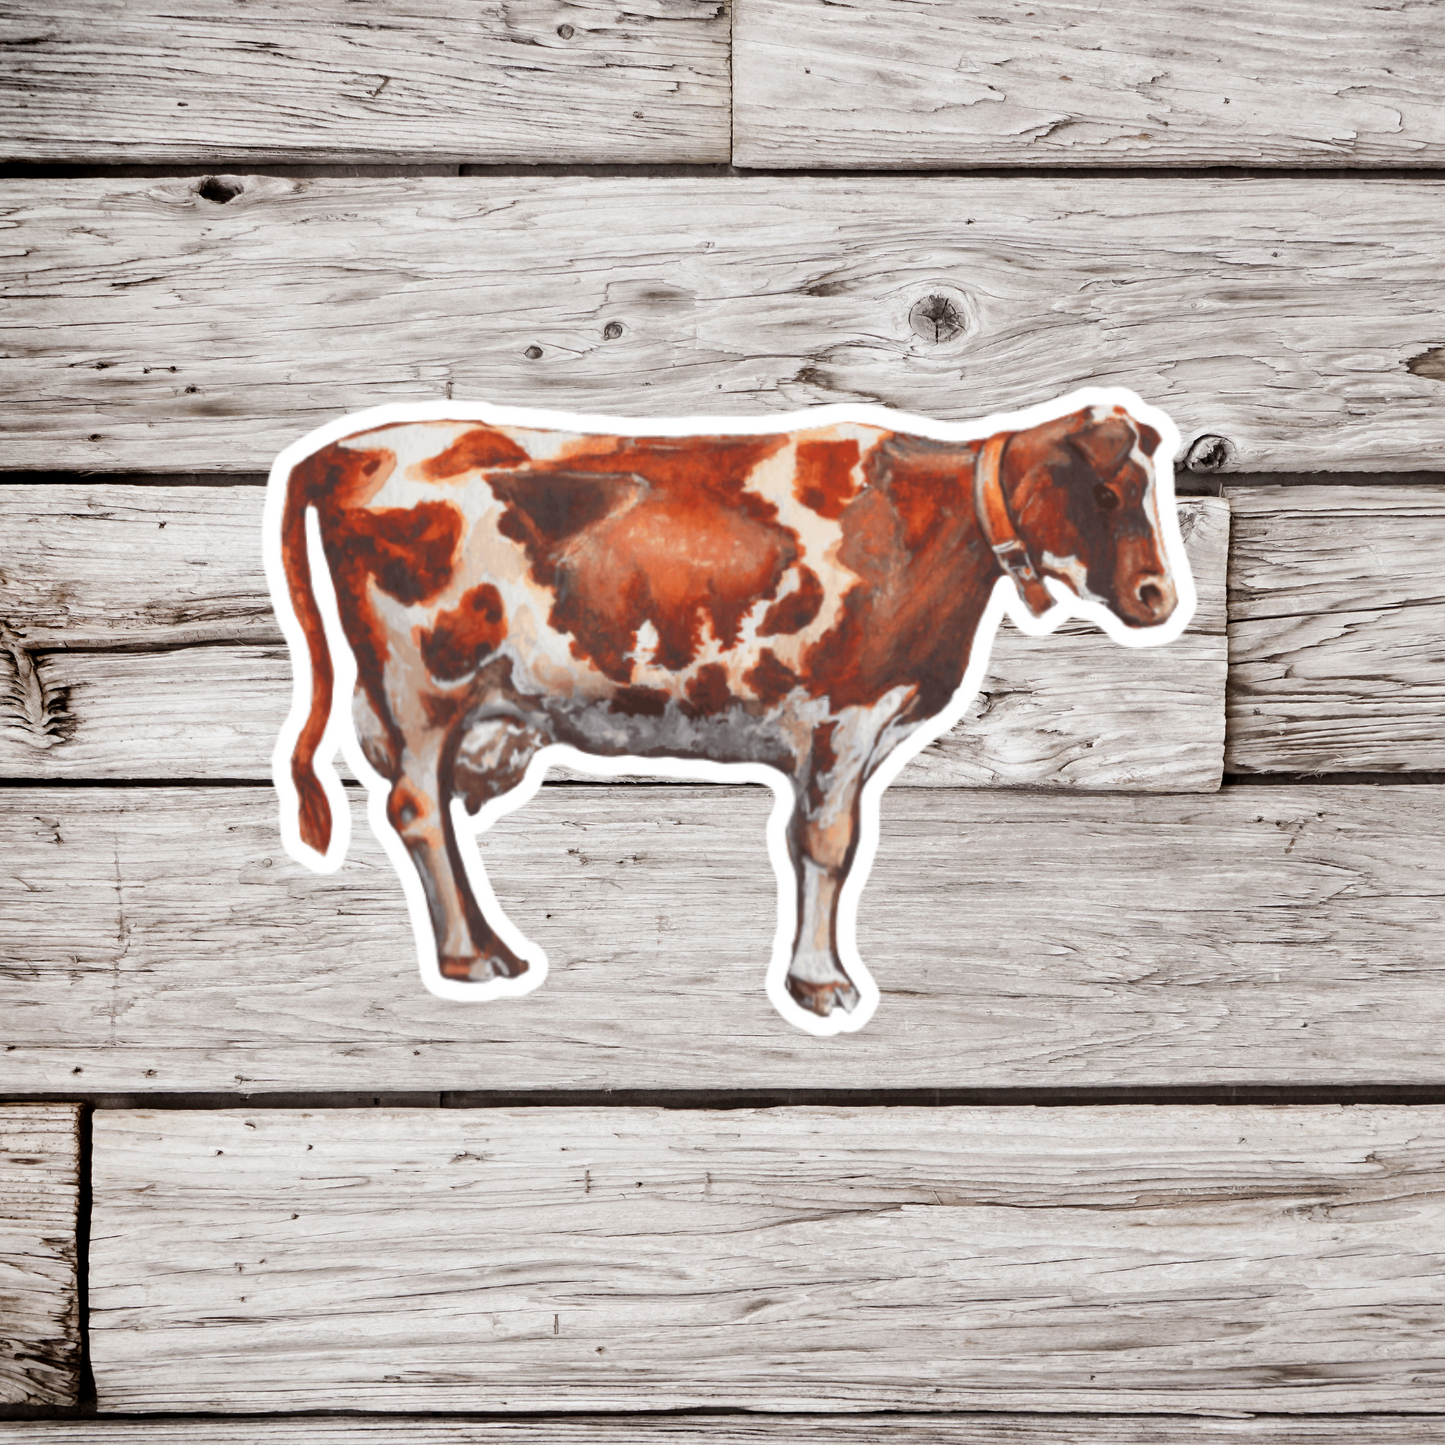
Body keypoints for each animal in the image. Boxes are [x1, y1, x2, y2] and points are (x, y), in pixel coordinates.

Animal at [265, 390, 1193, 1036]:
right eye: (1105, 494)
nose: (1159, 595)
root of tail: (345, 449)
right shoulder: (842, 713)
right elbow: (826, 846)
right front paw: (820, 981)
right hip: (420, 686)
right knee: (418, 810)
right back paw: (469, 957)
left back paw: (490, 947)